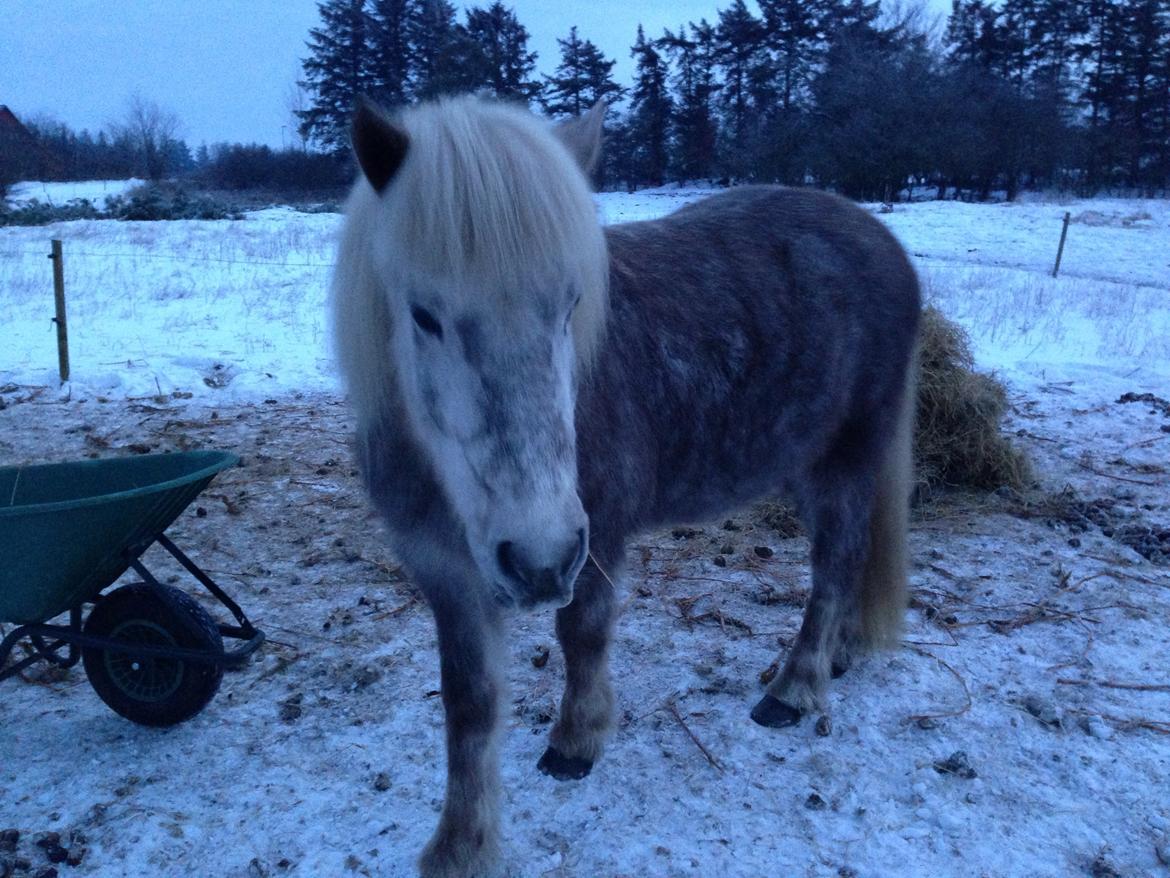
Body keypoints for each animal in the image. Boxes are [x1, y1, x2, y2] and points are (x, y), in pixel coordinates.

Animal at [332, 95, 921, 878]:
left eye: (570, 304)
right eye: (423, 316)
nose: (538, 558)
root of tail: (878, 236)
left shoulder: (597, 535)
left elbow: (581, 634)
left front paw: (576, 741)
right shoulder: (447, 575)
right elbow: (469, 705)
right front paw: (461, 847)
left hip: (849, 456)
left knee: (837, 561)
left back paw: (795, 688)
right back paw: (840, 655)